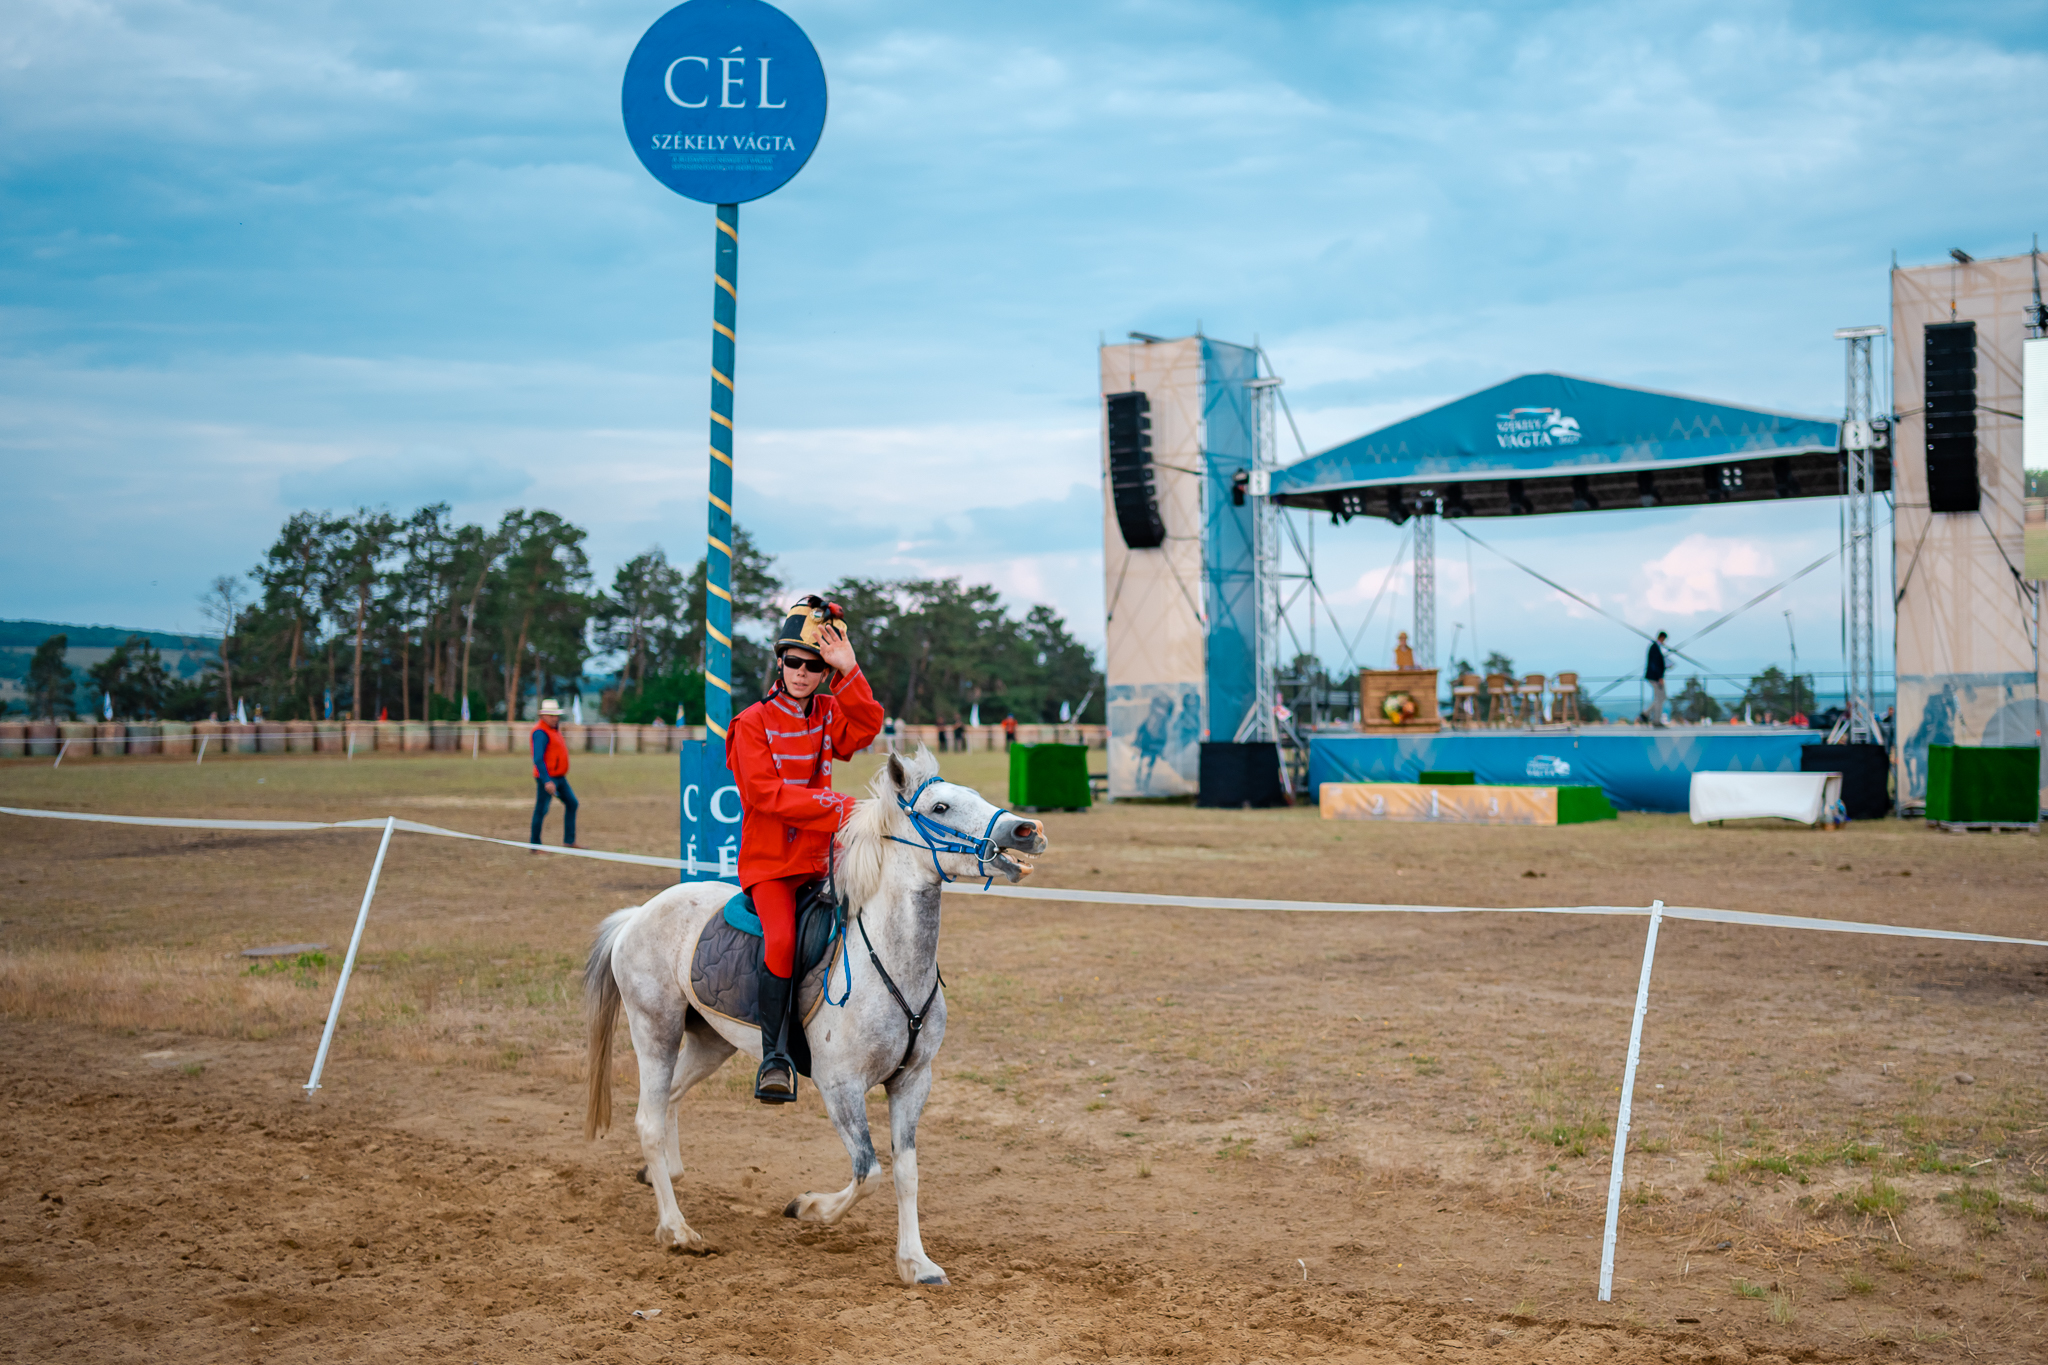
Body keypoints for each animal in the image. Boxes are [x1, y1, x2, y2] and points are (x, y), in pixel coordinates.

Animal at [585, 740, 1048, 1285]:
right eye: (940, 808)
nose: (1025, 830)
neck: (887, 962)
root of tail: (637, 914)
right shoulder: (840, 1086)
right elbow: (869, 1172)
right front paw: (809, 1208)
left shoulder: (913, 1082)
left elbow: (906, 1172)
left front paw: (916, 1262)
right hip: (655, 1029)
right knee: (648, 1121)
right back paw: (676, 1229)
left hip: (710, 1042)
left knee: (670, 1098)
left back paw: (663, 1177)